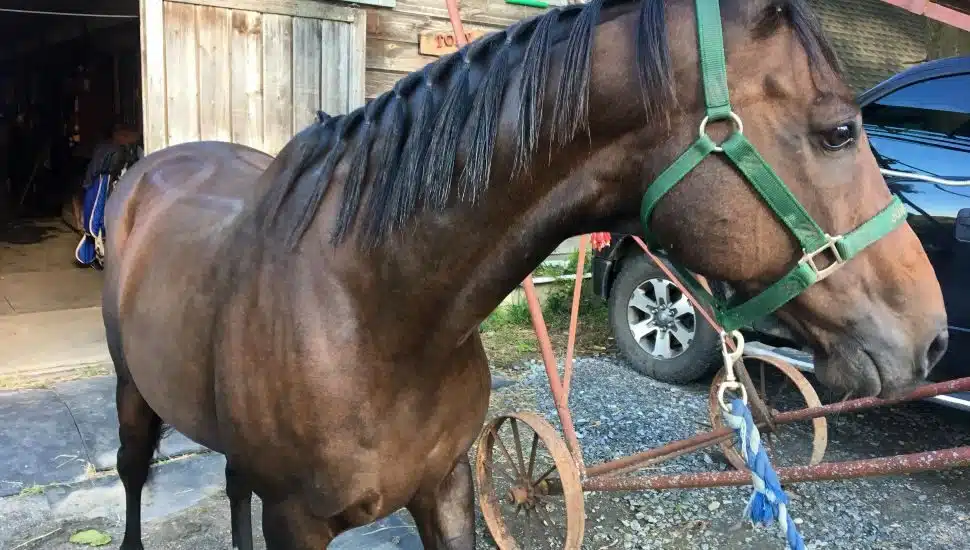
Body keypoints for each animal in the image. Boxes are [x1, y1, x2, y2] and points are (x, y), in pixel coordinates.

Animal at [102, 0, 949, 548]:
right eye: (839, 131)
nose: (933, 338)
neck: (370, 314)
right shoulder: (298, 522)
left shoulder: (446, 491)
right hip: (133, 398)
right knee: (133, 479)